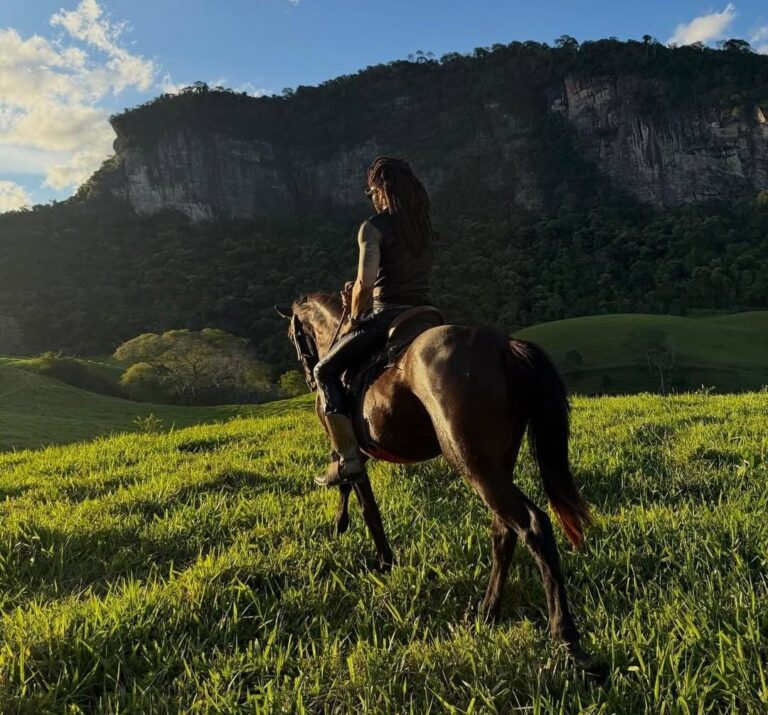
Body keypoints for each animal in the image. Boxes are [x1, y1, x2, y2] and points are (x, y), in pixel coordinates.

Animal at [276, 290, 600, 672]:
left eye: (293, 336)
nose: (310, 377)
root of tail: (504, 346)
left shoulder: (348, 443)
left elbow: (364, 499)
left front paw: (382, 560)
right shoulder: (360, 449)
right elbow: (348, 483)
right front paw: (343, 525)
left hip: (472, 461)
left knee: (532, 526)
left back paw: (565, 637)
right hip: (495, 463)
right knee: (504, 530)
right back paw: (488, 611)